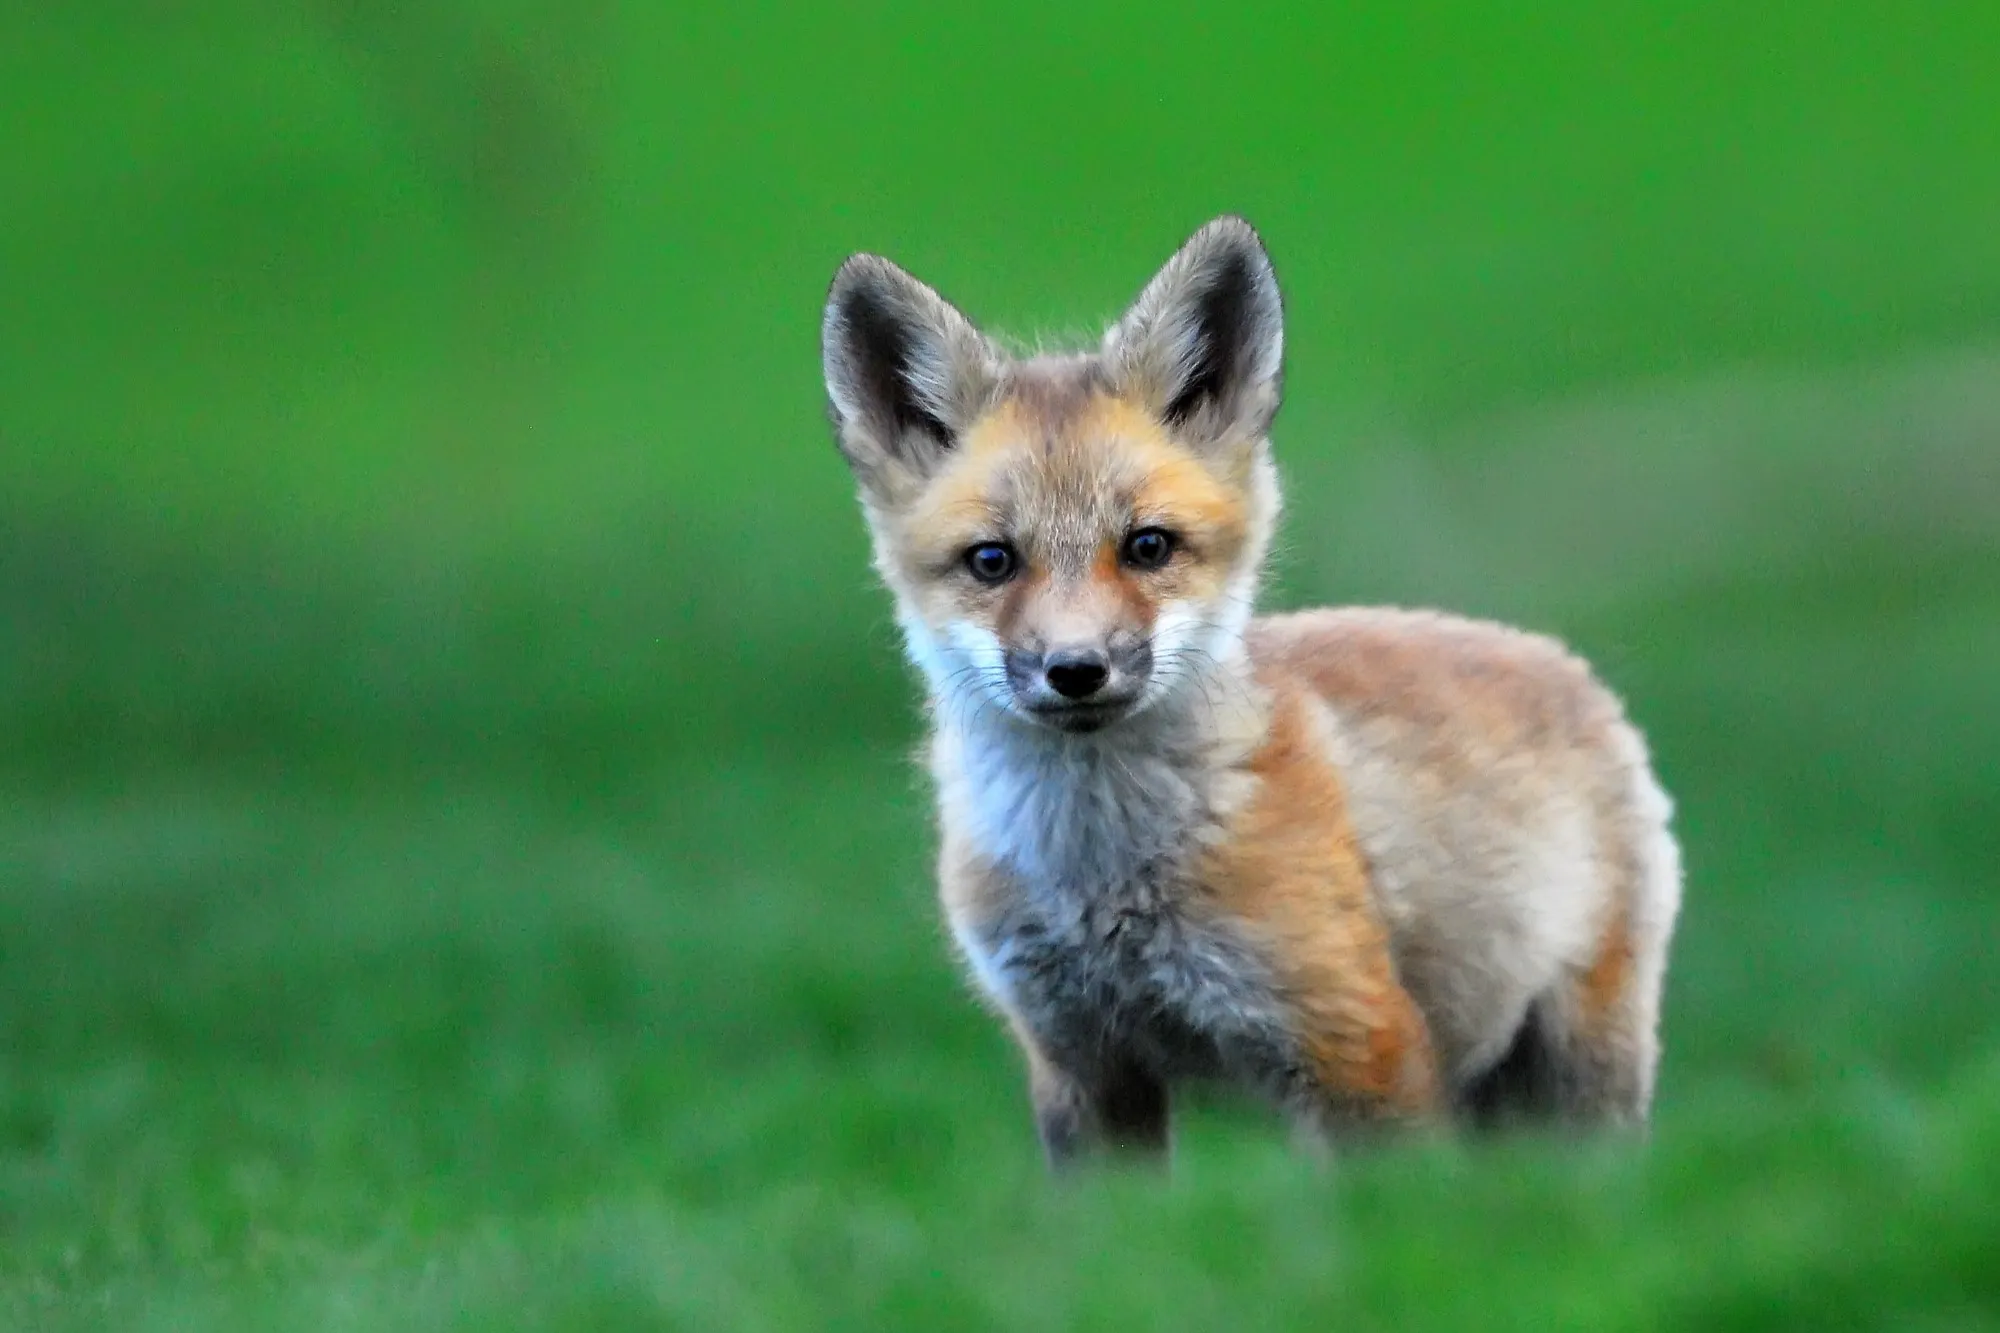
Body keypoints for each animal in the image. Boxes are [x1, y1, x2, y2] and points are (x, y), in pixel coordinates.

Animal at [818, 215, 1683, 1168]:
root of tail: (1562, 662)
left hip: (1580, 1075)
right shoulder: (1083, 1064)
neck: (1099, 880)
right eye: (991, 560)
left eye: (1148, 546)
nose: (1077, 669)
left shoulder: (1359, 1040)